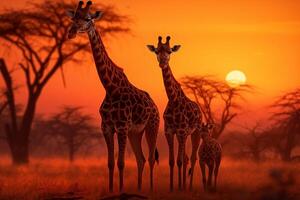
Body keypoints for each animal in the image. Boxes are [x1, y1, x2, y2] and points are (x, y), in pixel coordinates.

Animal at [65, 1, 159, 192]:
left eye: (88, 18)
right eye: (74, 17)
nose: (71, 32)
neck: (110, 87)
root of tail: (155, 106)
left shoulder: (121, 127)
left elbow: (121, 163)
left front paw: (121, 190)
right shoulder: (107, 127)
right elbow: (110, 163)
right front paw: (110, 190)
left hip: (152, 126)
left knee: (151, 158)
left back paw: (151, 189)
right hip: (135, 133)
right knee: (141, 159)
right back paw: (139, 189)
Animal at [147, 36, 203, 191]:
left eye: (170, 51)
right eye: (157, 51)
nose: (162, 62)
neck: (173, 99)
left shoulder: (182, 131)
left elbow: (179, 161)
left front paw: (180, 188)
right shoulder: (170, 131)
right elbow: (172, 161)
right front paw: (172, 187)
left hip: (195, 132)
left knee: (192, 157)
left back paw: (188, 187)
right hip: (183, 135)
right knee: (186, 158)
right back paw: (183, 184)